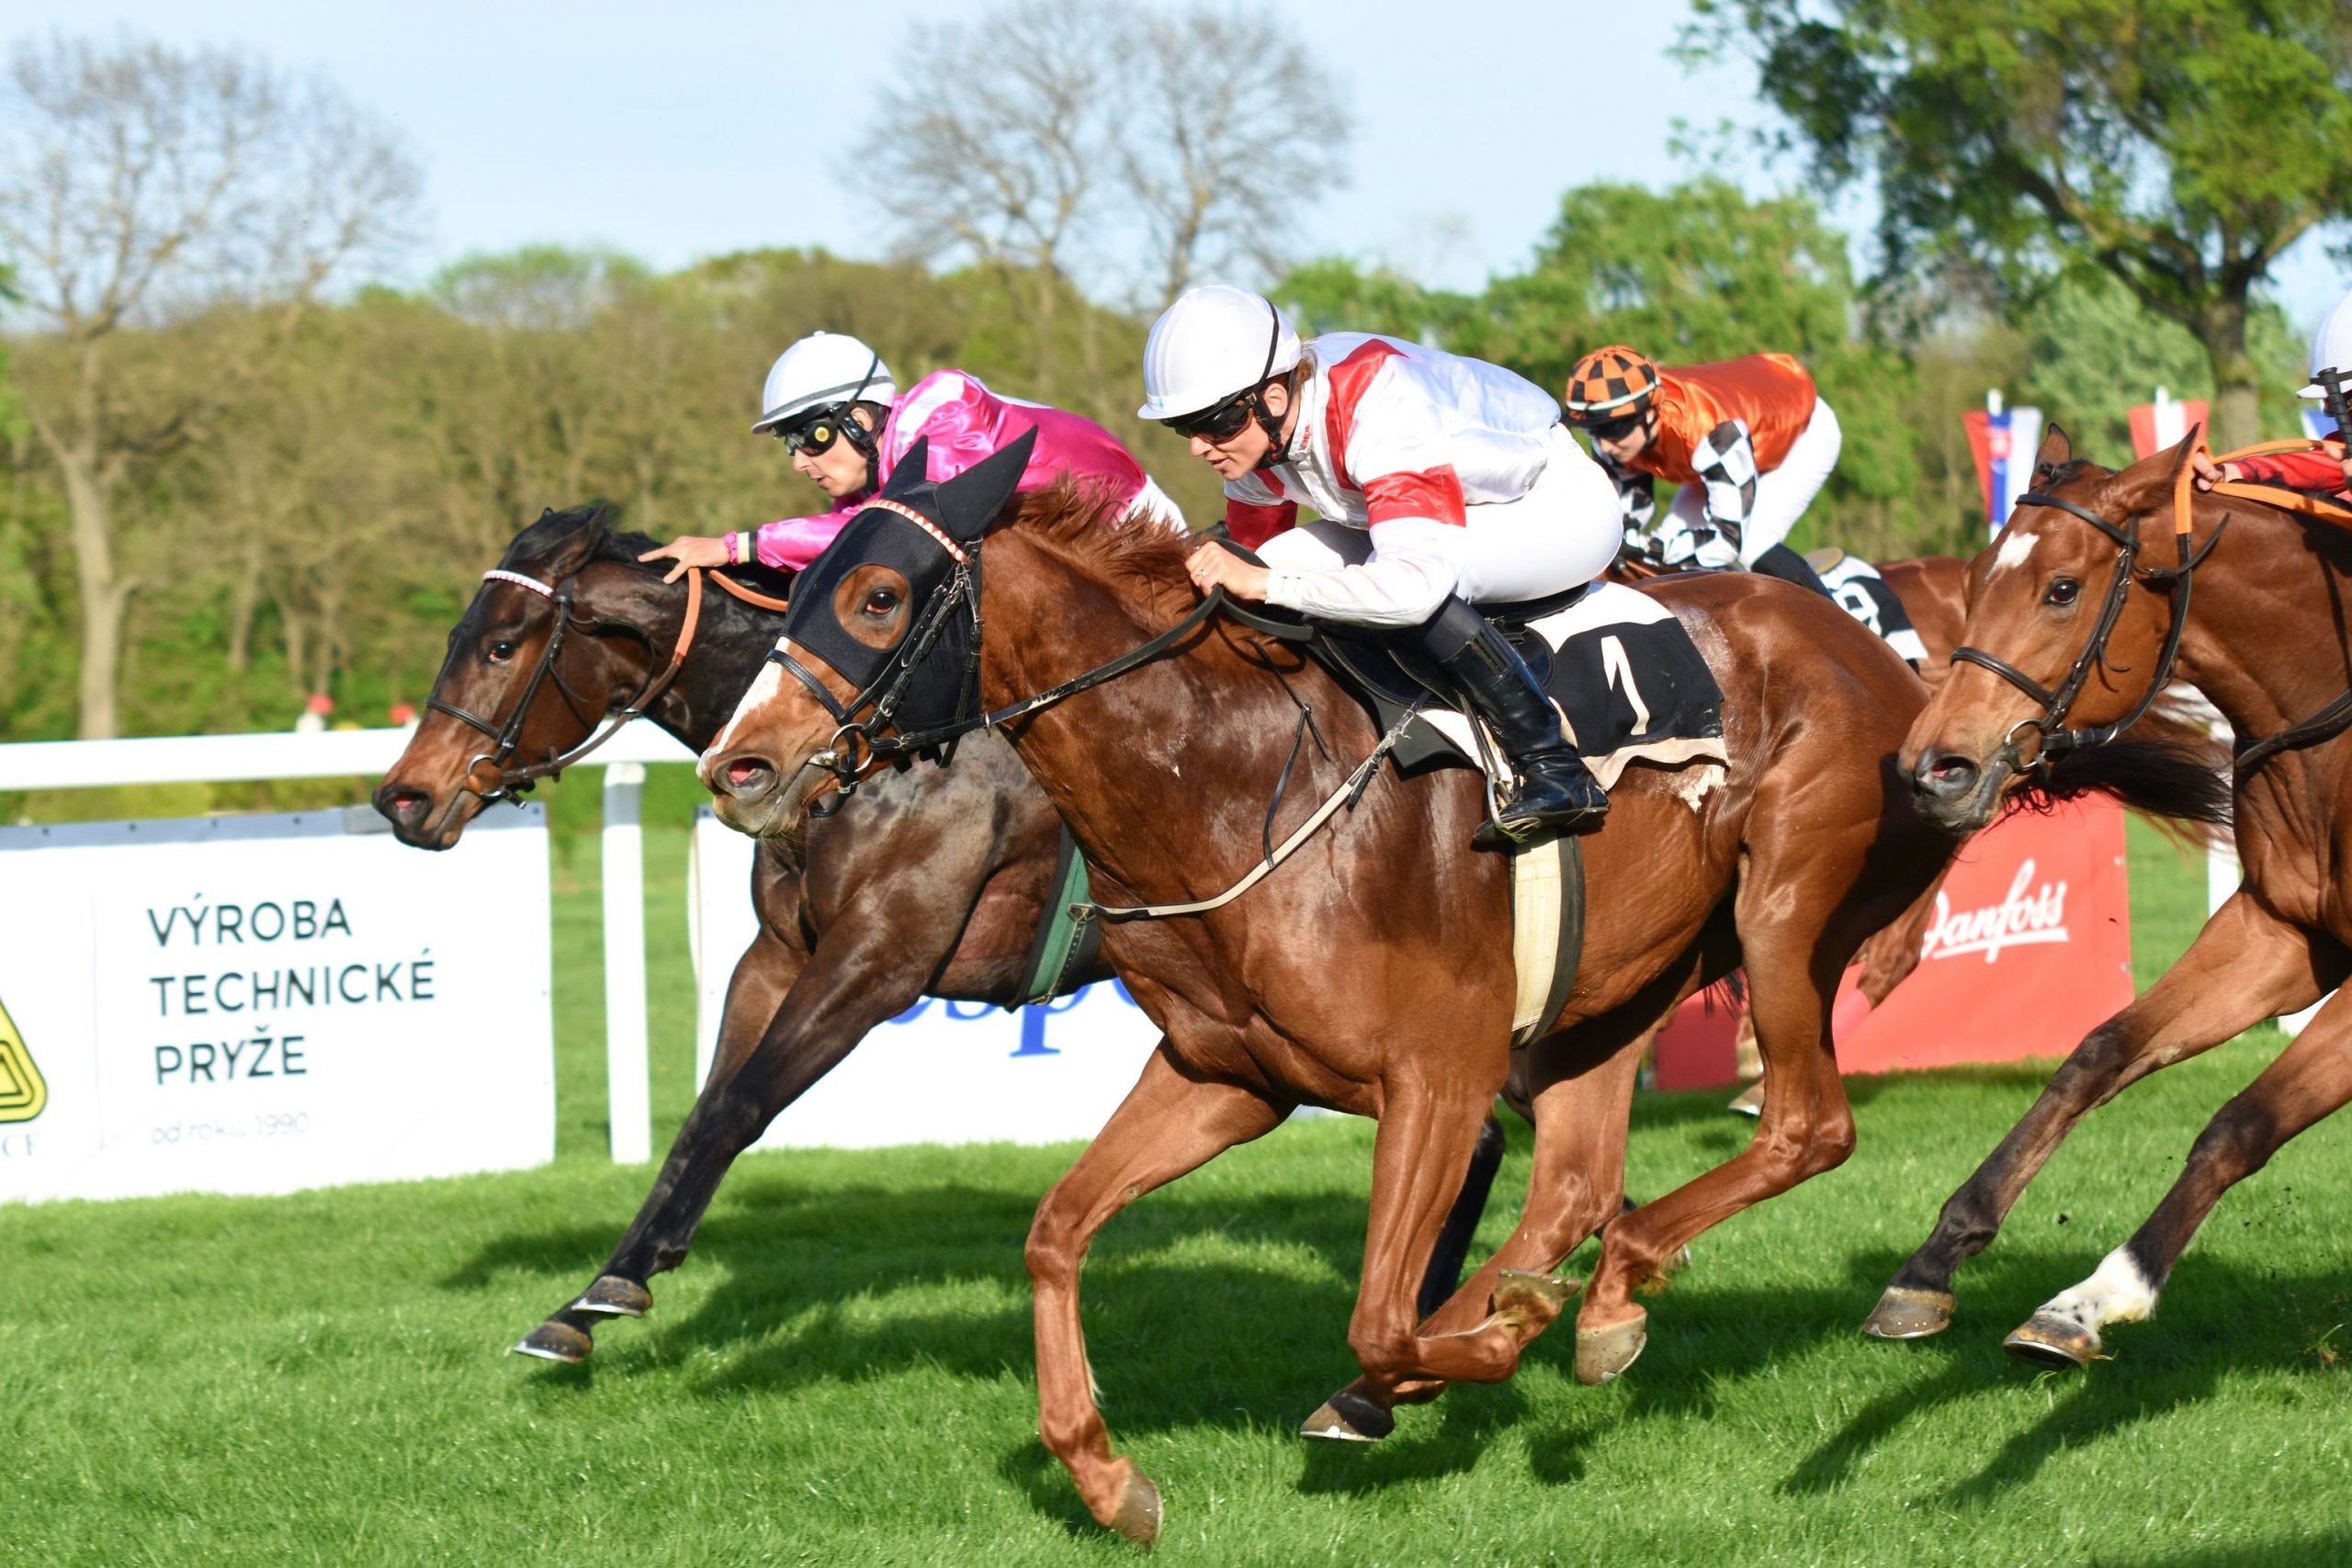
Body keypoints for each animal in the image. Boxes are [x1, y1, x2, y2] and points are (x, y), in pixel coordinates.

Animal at [367, 512, 1505, 1363]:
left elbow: (742, 1103)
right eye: (461, 634)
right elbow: (703, 1113)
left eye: (501, 643)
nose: (402, 798)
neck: (862, 762)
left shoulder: (880, 957)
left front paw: (612, 1290)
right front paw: (593, 1294)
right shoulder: (776, 956)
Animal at [700, 434, 1966, 1541]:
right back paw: (1555, 1313)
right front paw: (1107, 1479)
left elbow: (1377, 1319)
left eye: (877, 597)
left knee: (1804, 1126)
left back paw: (1600, 1294)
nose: (736, 767)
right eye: (793, 588)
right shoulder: (1228, 1074)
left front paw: (1494, 1340)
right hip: (1615, 984)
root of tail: (1888, 663)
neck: (1231, 777)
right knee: (1572, 1185)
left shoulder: (1439, 1076)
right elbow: (1055, 1232)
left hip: (1782, 909)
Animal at [1862, 423, 2342, 1363]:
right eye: (1972, 581)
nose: (1934, 768)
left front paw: (2095, 1295)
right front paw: (1937, 1255)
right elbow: (2100, 1050)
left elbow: (2243, 1121)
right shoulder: (2281, 933)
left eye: (2062, 588)